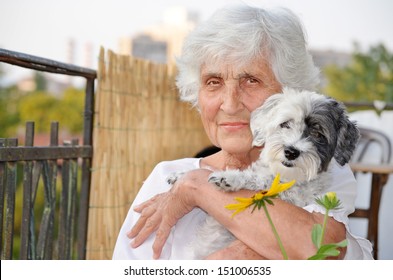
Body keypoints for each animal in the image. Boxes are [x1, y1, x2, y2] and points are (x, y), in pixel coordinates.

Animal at [168, 88, 358, 260]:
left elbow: (257, 180)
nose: (291, 152)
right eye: (285, 124)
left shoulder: (291, 195)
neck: (284, 175)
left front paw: (228, 177)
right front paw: (182, 174)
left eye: (318, 133)